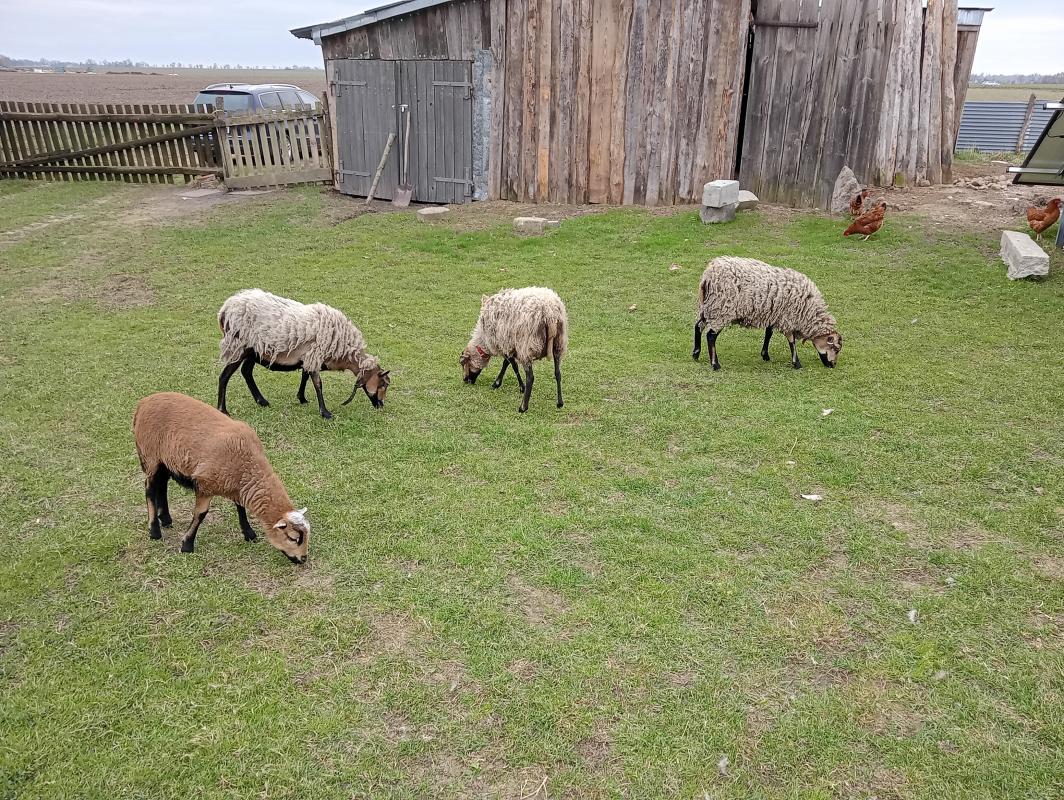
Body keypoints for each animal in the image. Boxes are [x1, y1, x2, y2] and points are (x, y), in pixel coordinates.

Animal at [133, 392, 309, 563]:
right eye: (293, 538)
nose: (303, 559)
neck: (247, 464)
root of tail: (143, 403)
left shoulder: (235, 485)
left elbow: (240, 506)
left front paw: (249, 533)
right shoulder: (205, 484)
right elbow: (201, 514)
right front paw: (187, 545)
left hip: (165, 459)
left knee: (162, 484)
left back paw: (166, 519)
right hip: (150, 454)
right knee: (150, 489)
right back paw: (154, 531)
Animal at [217, 288, 390, 420]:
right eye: (383, 384)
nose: (381, 405)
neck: (344, 354)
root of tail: (225, 309)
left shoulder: (309, 357)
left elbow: (305, 376)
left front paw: (302, 398)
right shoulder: (316, 355)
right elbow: (318, 384)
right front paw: (325, 413)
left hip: (254, 350)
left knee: (246, 371)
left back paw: (261, 401)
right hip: (238, 345)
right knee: (224, 376)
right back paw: (223, 410)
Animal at [692, 256, 843, 371]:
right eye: (835, 349)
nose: (832, 365)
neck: (808, 312)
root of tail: (707, 276)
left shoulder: (774, 314)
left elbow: (768, 333)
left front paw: (765, 355)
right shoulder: (788, 318)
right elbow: (791, 341)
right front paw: (797, 363)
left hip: (708, 307)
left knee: (698, 326)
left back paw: (696, 354)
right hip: (721, 309)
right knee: (711, 336)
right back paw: (715, 364)